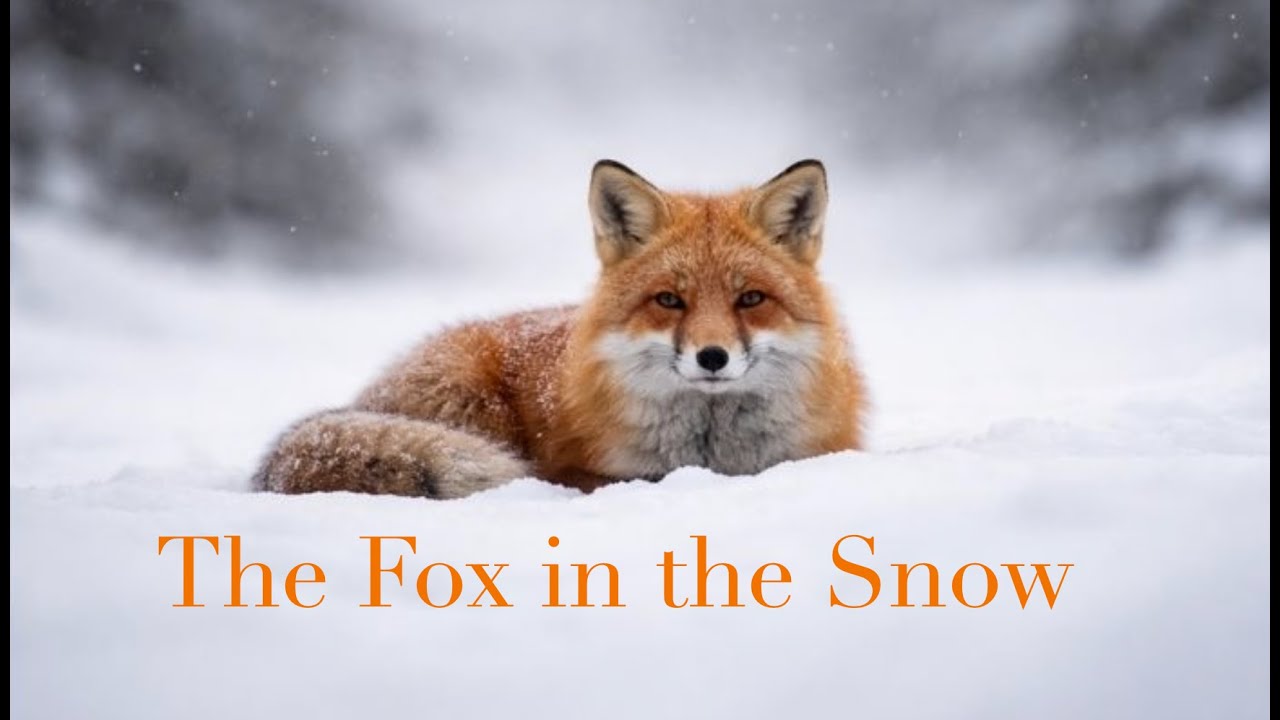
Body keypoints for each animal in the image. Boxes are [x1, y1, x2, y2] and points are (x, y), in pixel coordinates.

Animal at [254, 159, 866, 498]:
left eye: (751, 299)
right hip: (473, 400)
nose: (712, 357)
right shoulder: (580, 470)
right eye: (669, 300)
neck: (710, 456)